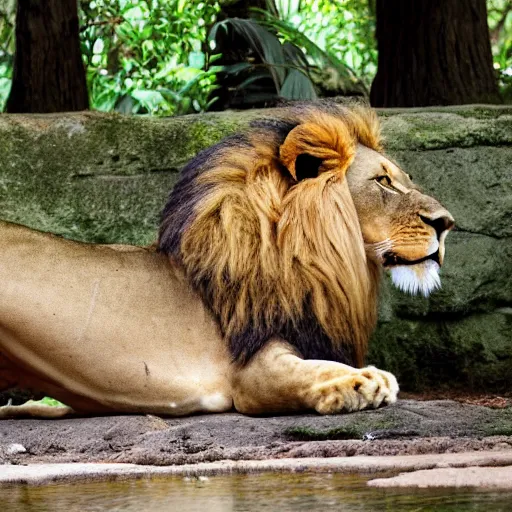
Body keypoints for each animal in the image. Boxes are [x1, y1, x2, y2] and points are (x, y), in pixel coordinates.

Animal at [0, 102, 452, 418]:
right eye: (383, 181)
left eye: (403, 179)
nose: (447, 223)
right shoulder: (252, 372)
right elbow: (317, 370)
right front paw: (365, 381)